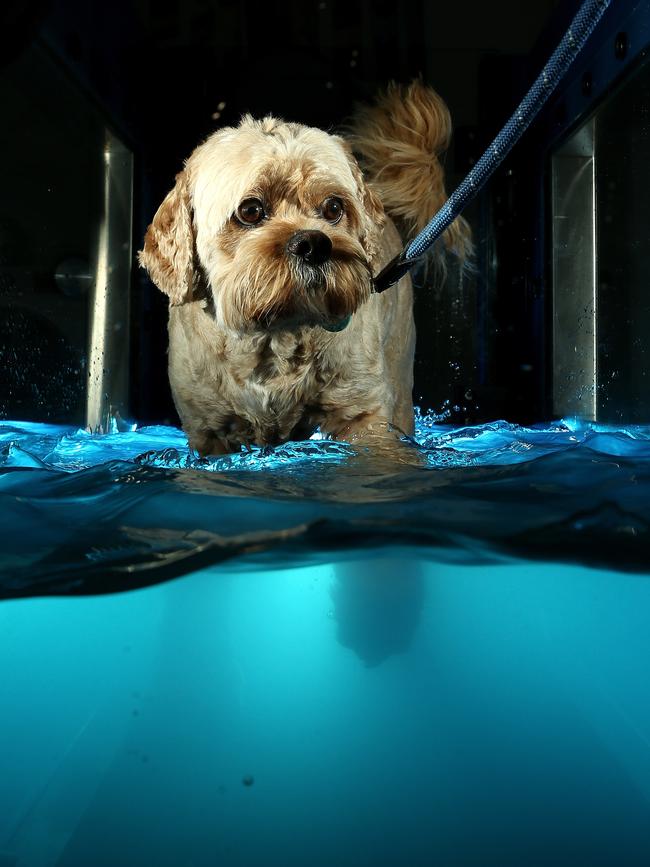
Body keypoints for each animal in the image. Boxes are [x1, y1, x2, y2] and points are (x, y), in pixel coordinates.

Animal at [139, 80, 468, 458]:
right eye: (250, 210)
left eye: (333, 207)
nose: (313, 244)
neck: (274, 337)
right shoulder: (209, 431)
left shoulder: (365, 416)